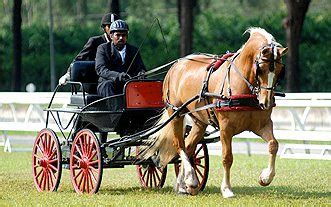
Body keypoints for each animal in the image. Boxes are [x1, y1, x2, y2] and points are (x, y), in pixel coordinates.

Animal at [140, 27, 288, 197]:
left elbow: (273, 145)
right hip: (176, 113)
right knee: (180, 145)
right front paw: (226, 189)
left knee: (189, 147)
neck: (242, 83)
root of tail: (176, 65)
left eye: (279, 71)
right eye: (261, 69)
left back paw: (184, 184)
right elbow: (227, 157)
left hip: (199, 121)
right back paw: (190, 180)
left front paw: (265, 177)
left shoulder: (262, 125)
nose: (266, 102)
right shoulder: (226, 128)